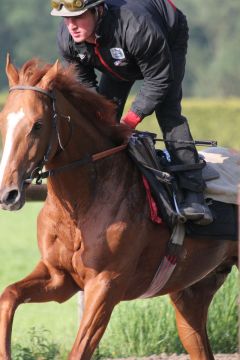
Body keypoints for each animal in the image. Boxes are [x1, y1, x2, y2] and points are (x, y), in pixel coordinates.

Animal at [0, 56, 237, 360]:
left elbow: (79, 350)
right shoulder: (59, 277)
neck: (79, 207)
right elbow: (8, 296)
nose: (9, 193)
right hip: (193, 291)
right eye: (4, 120)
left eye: (38, 125)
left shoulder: (105, 286)